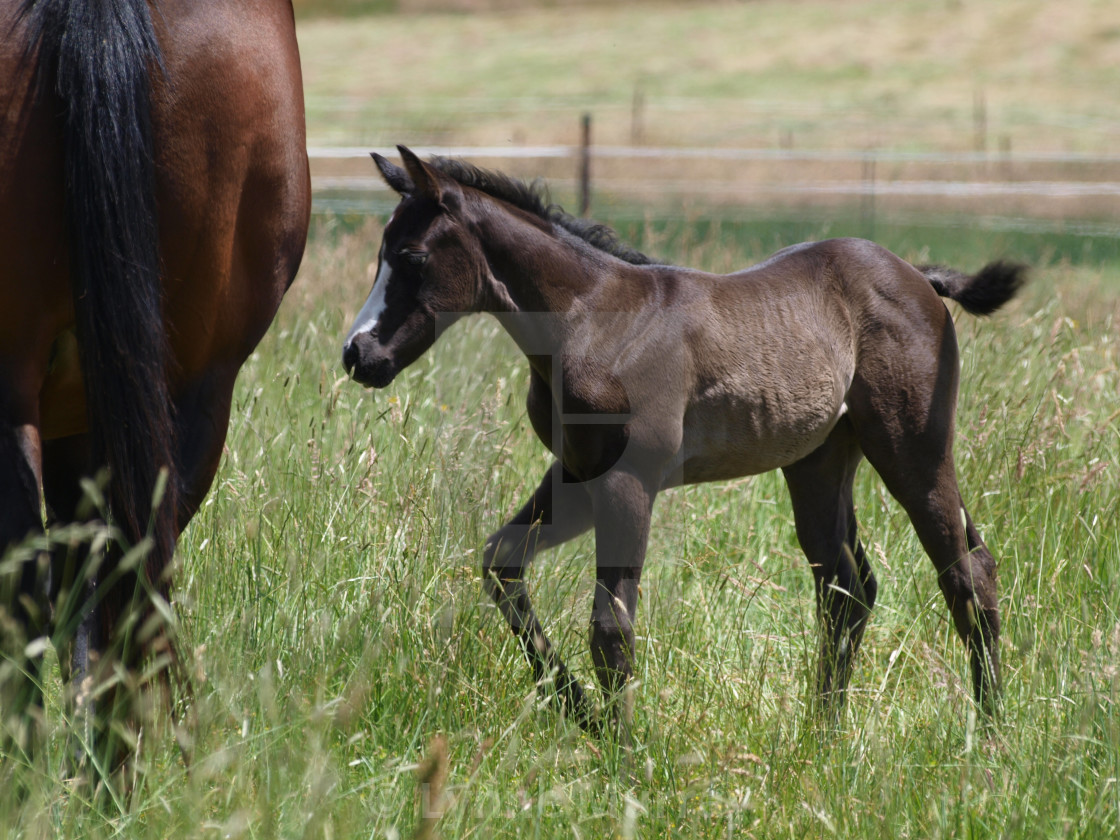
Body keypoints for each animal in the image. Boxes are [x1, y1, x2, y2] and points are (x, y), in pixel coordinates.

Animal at [340, 147, 1025, 739]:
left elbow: (611, 629)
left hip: (913, 449)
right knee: (847, 590)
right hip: (819, 461)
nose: (358, 354)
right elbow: (502, 563)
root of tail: (919, 278)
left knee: (966, 573)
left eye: (412, 257)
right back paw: (821, 736)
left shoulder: (628, 482)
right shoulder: (577, 473)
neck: (593, 321)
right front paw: (582, 714)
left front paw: (623, 755)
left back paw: (989, 735)